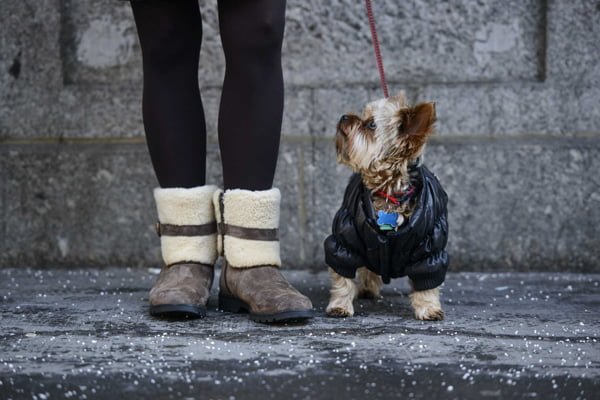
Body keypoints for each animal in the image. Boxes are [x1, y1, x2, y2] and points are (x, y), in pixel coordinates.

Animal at [326, 92, 448, 320]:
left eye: (371, 124)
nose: (344, 116)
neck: (389, 192)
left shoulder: (430, 249)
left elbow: (427, 281)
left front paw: (429, 308)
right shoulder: (344, 241)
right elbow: (342, 278)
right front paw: (340, 305)